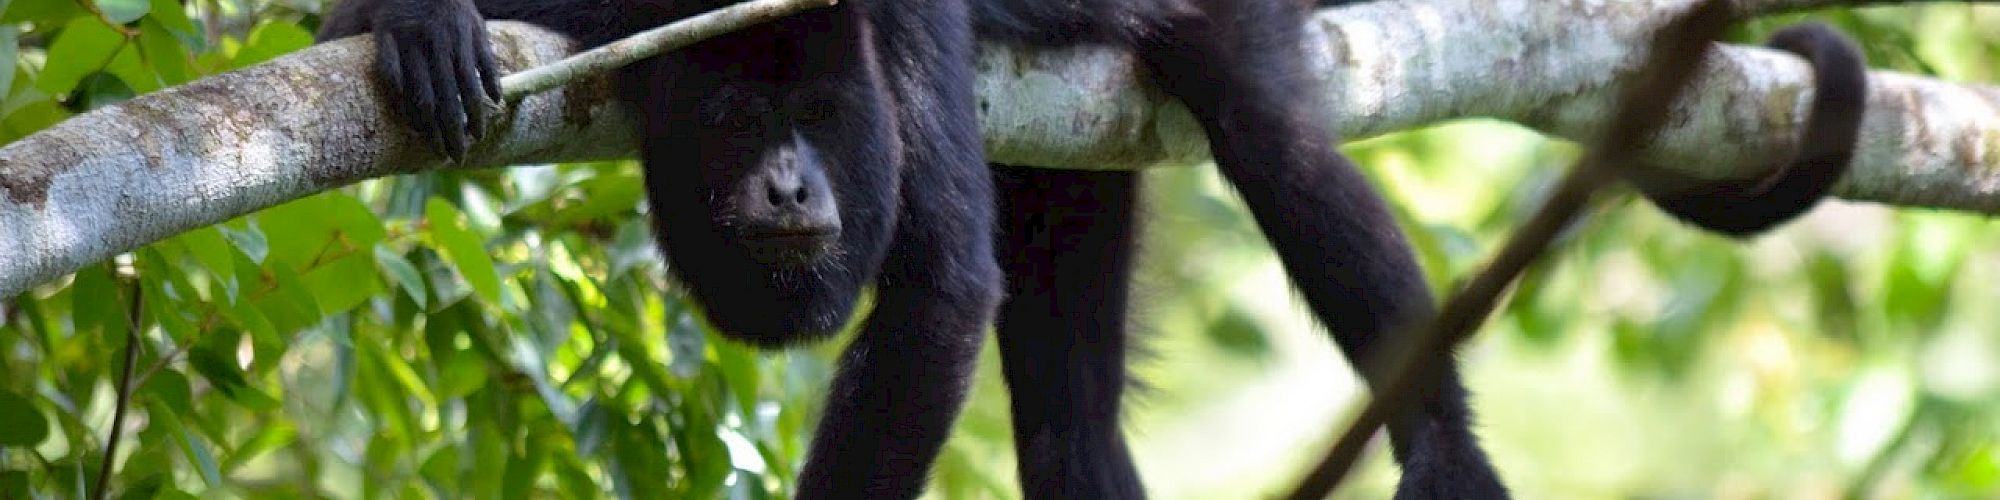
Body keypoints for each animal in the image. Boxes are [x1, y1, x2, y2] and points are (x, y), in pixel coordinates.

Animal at [316, 0, 1872, 496]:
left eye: (818, 114)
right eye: (738, 119)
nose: (788, 183)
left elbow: (939, 290)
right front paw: (417, 21)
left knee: (1279, 148)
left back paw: (1448, 454)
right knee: (1064, 409)